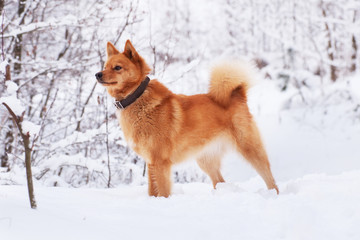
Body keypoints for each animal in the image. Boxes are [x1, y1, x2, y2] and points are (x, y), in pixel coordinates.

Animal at [95, 39, 278, 197]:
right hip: (206, 161)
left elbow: (163, 191)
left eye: (117, 67)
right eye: (104, 66)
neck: (137, 98)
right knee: (220, 181)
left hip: (250, 150)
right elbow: (152, 191)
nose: (97, 74)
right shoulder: (151, 162)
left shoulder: (160, 162)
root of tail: (238, 95)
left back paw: (273, 195)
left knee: (270, 179)